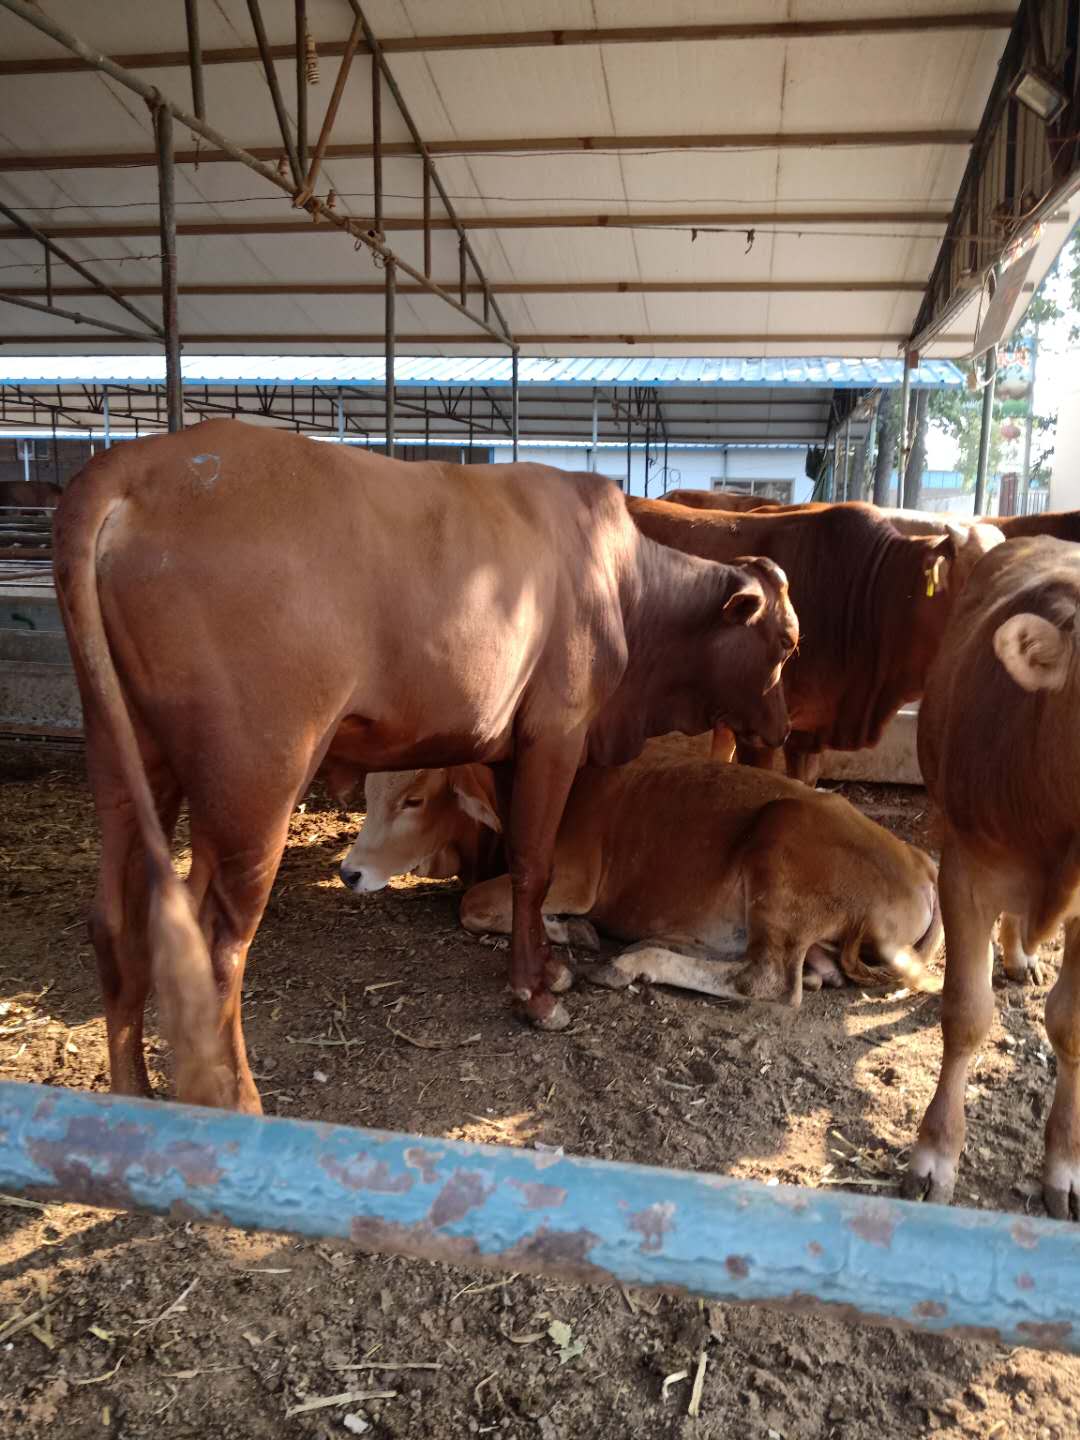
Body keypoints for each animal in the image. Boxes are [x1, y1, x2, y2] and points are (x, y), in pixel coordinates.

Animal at [57, 417, 806, 1111]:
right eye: (787, 642)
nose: (784, 727)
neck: (622, 585)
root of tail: (140, 462)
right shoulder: (557, 734)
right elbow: (534, 867)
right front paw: (536, 996)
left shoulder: (508, 746)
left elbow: (522, 868)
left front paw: (546, 969)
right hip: (257, 779)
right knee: (217, 944)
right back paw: (237, 1102)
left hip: (127, 760)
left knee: (116, 923)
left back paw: (131, 1091)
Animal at [342, 748, 944, 1008]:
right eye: (369, 792)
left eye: (414, 798)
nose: (349, 872)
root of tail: (922, 862)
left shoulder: (572, 876)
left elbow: (471, 904)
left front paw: (567, 932)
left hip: (782, 840)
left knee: (769, 980)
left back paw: (632, 962)